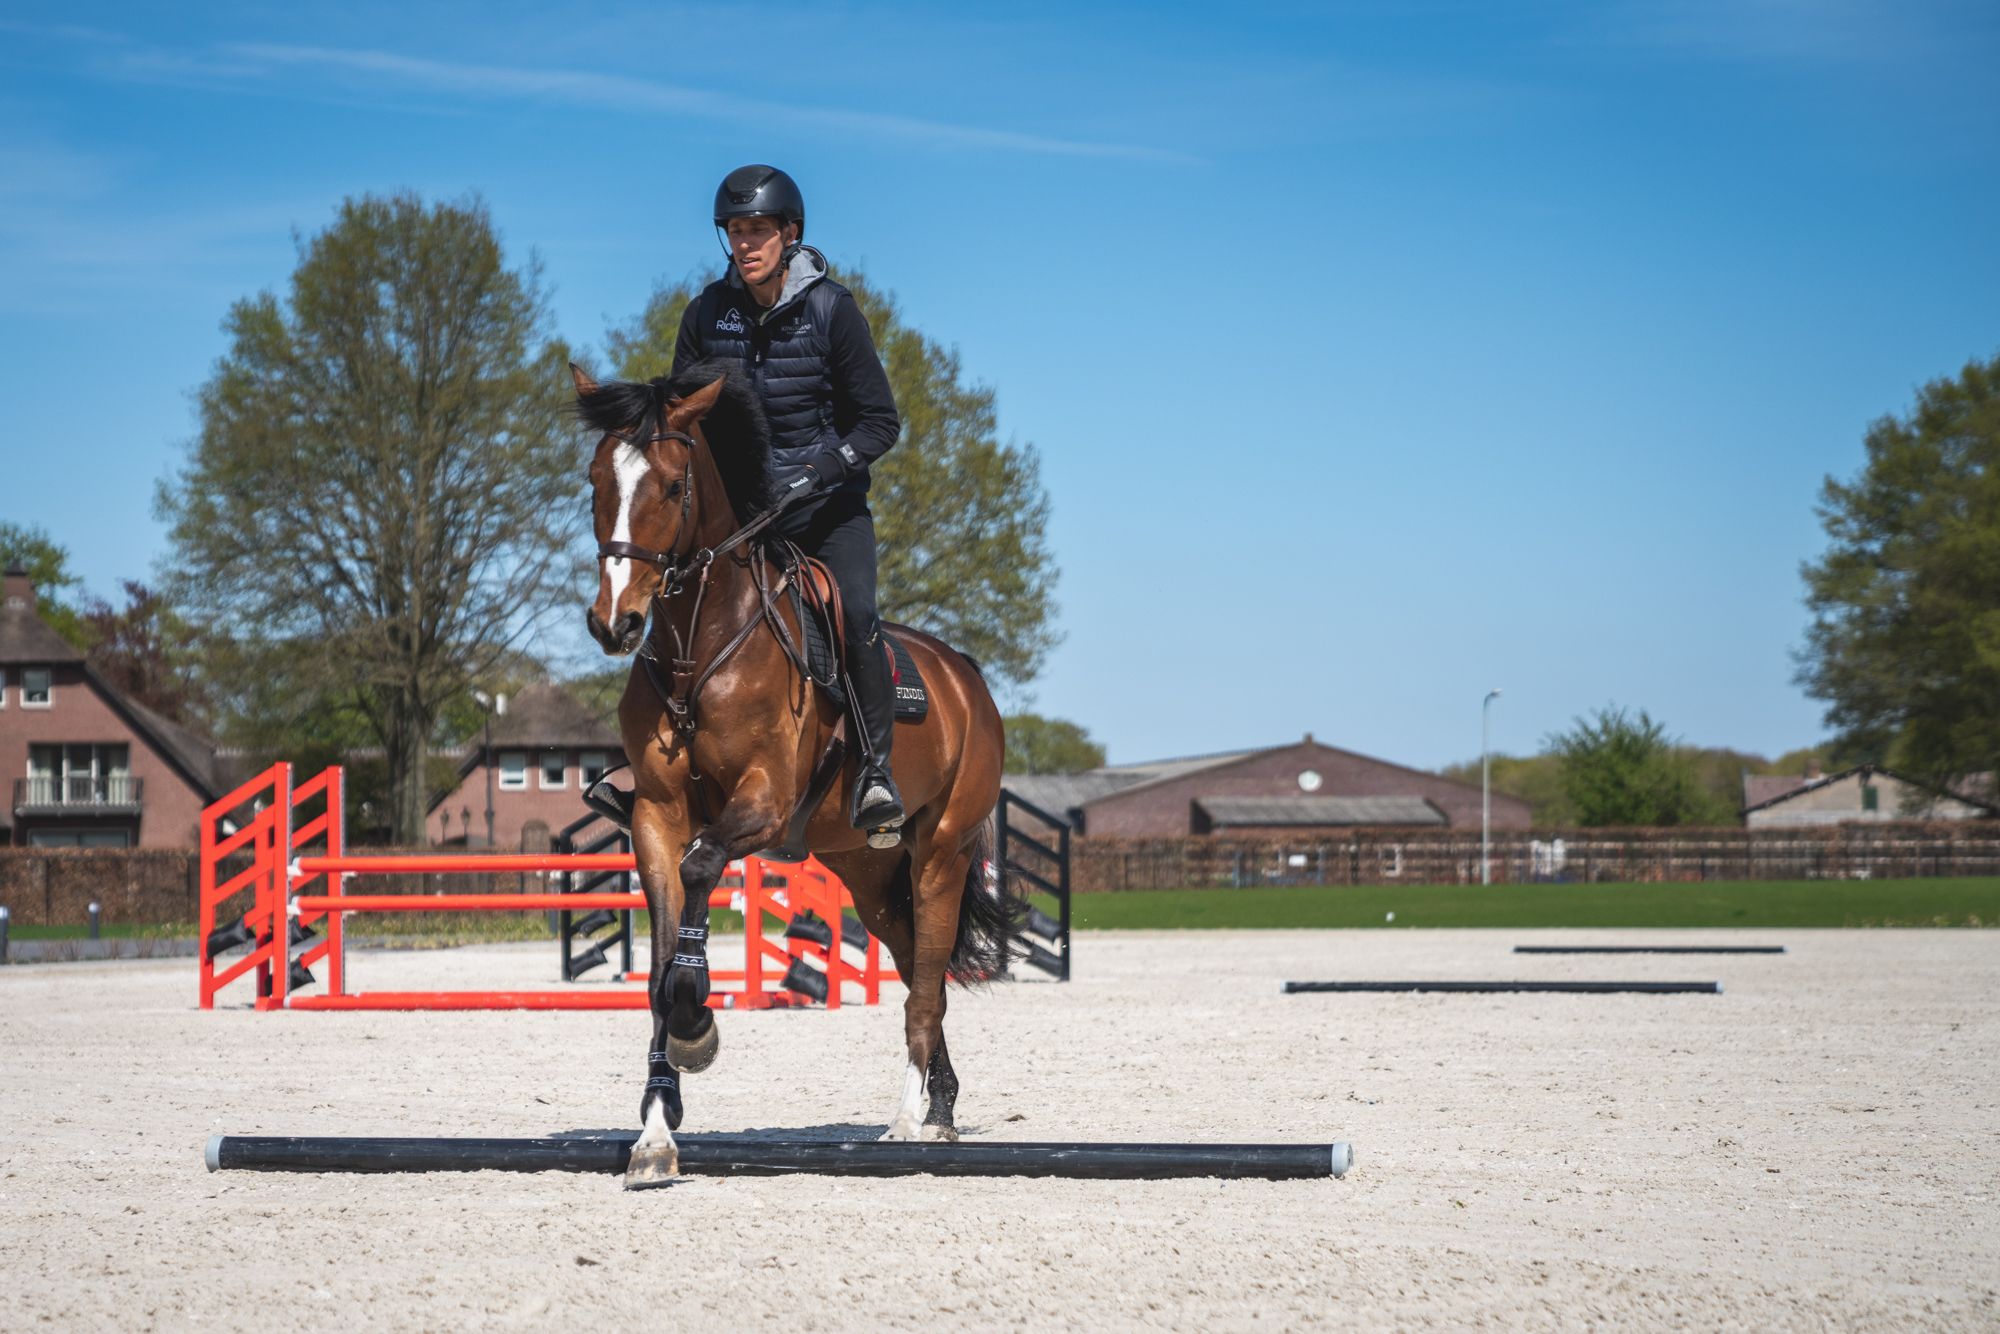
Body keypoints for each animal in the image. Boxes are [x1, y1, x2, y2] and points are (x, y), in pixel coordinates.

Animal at [576, 358, 1016, 1192]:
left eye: (674, 488)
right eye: (595, 481)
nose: (614, 623)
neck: (697, 651)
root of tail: (964, 676)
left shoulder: (764, 805)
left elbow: (703, 868)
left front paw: (696, 1027)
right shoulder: (654, 817)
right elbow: (657, 961)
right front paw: (655, 1131)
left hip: (940, 857)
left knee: (926, 985)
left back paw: (909, 1121)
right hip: (869, 876)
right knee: (921, 972)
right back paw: (939, 1106)